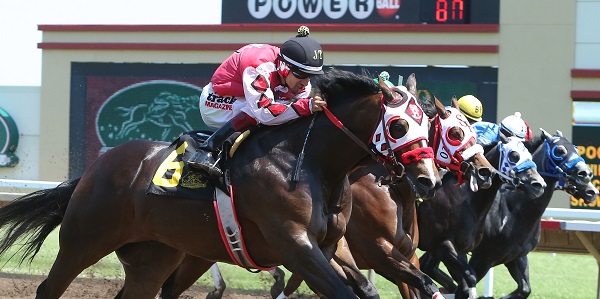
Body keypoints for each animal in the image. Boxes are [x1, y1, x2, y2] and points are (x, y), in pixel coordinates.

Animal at [0, 70, 438, 299]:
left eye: (430, 126)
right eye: (399, 125)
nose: (428, 180)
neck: (311, 162)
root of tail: (95, 168)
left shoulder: (332, 248)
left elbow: (416, 281)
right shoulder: (295, 243)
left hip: (155, 257)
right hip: (85, 240)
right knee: (48, 289)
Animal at [156, 82, 496, 299]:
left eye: (425, 124)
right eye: (455, 132)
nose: (485, 171)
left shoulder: (404, 255)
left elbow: (419, 284)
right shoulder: (370, 250)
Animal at [418, 137, 548, 299]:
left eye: (530, 155)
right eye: (514, 155)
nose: (539, 184)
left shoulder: (467, 248)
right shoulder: (446, 246)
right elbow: (469, 278)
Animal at [460, 130, 596, 298]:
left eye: (576, 149)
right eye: (558, 151)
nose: (587, 174)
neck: (512, 211)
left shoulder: (517, 257)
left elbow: (525, 289)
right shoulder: (482, 258)